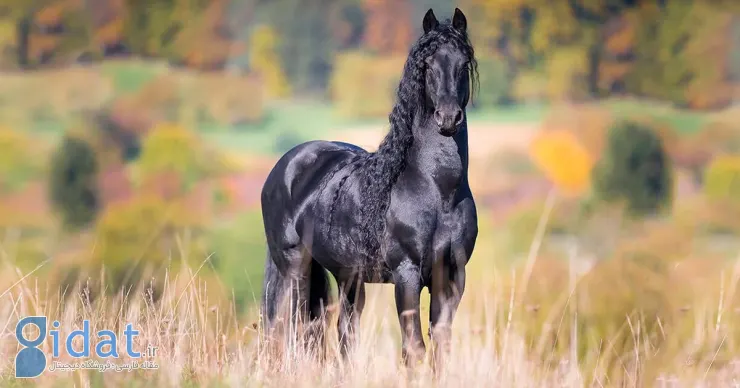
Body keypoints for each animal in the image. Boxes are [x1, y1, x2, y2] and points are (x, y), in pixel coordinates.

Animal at [260, 9, 480, 366]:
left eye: (463, 63)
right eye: (427, 65)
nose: (448, 118)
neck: (437, 192)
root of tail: (287, 165)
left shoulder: (451, 277)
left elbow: (440, 346)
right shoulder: (406, 275)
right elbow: (414, 348)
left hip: (348, 276)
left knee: (343, 332)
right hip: (295, 270)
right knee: (293, 328)